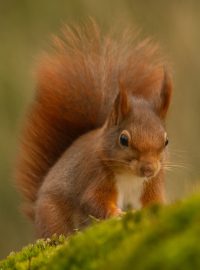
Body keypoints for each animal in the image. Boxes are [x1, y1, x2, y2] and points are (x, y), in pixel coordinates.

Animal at [15, 20, 173, 236]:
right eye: (123, 139)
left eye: (166, 141)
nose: (148, 169)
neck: (130, 176)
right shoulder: (96, 175)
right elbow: (93, 201)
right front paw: (117, 214)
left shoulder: (151, 185)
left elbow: (153, 203)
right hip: (52, 215)